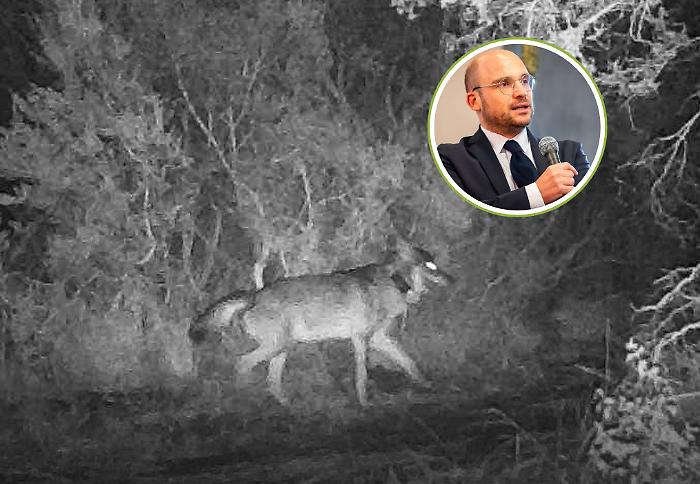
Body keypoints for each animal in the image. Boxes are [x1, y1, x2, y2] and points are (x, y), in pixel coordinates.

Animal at [189, 241, 450, 406]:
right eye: (430, 266)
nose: (451, 279)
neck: (395, 282)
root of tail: (254, 294)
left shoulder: (379, 339)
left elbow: (410, 363)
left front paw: (428, 385)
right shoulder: (360, 339)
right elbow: (362, 375)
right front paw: (364, 403)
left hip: (283, 349)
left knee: (271, 381)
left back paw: (289, 406)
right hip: (276, 347)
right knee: (241, 364)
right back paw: (247, 402)